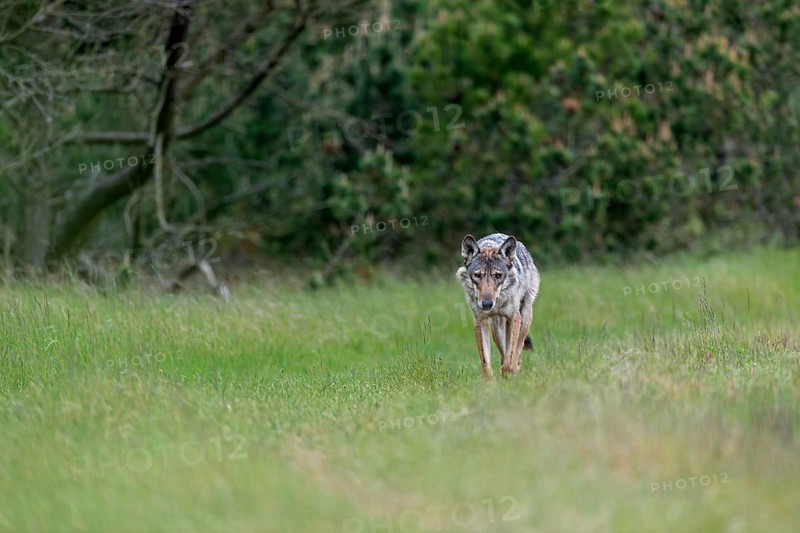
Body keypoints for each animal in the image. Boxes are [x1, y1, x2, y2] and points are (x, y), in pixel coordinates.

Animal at [456, 233, 540, 379]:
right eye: (477, 275)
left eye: (497, 276)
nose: (487, 304)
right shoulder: (480, 321)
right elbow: (486, 364)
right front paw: (490, 383)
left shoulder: (514, 318)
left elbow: (510, 359)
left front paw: (509, 374)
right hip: (497, 330)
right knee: (503, 353)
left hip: (524, 321)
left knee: (517, 354)